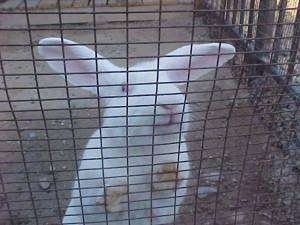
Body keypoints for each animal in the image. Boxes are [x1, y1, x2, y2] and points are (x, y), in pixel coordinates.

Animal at [37, 37, 236, 224]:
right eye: (125, 88)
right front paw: (115, 190)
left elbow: (164, 194)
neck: (146, 150)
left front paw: (168, 171)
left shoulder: (165, 204)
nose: (170, 104)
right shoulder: (89, 193)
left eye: (171, 83)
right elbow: (102, 202)